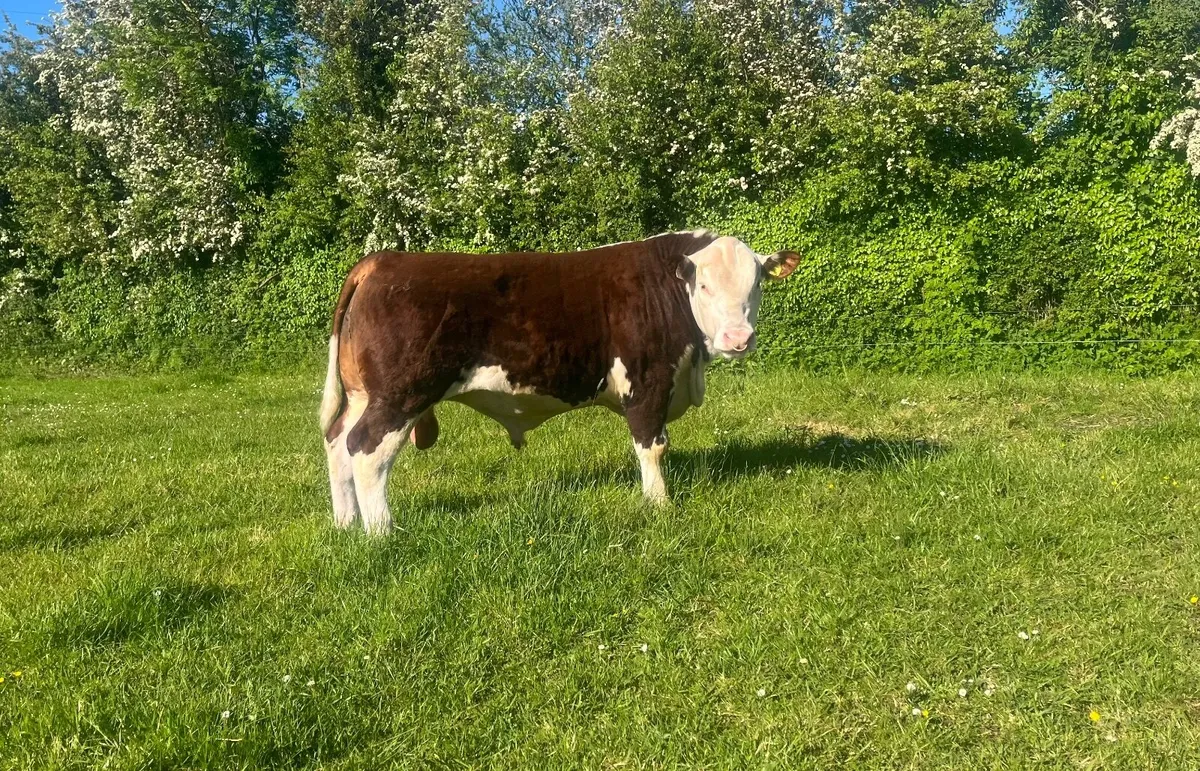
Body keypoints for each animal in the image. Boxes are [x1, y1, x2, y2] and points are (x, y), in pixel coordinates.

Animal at [319, 230, 800, 534]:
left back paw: (345, 524)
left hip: (363, 394)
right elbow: (652, 446)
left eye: (756, 283)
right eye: (703, 286)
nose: (738, 338)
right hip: (401, 393)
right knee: (366, 450)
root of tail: (383, 259)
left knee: (338, 442)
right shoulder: (648, 381)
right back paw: (382, 532)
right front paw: (658, 506)